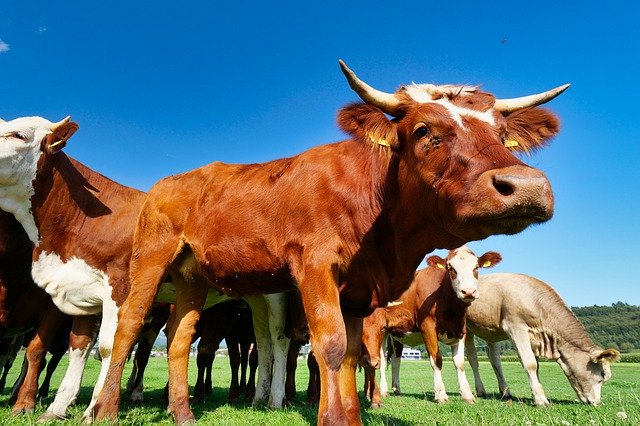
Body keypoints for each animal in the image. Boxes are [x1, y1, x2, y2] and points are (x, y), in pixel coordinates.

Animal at [360, 246, 500, 406]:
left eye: (476, 267)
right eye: (451, 268)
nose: (468, 291)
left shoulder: (461, 330)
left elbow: (460, 363)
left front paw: (467, 394)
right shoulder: (428, 328)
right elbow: (436, 360)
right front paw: (441, 394)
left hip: (397, 334)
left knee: (396, 359)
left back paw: (396, 388)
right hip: (383, 332)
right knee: (382, 360)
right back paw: (383, 391)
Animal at [464, 272, 620, 406]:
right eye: (602, 376)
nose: (596, 403)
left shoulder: (534, 338)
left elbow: (537, 367)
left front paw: (535, 394)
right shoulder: (515, 328)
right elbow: (530, 364)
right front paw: (541, 400)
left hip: (490, 331)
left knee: (494, 360)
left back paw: (505, 392)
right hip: (467, 329)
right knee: (473, 358)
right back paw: (480, 390)